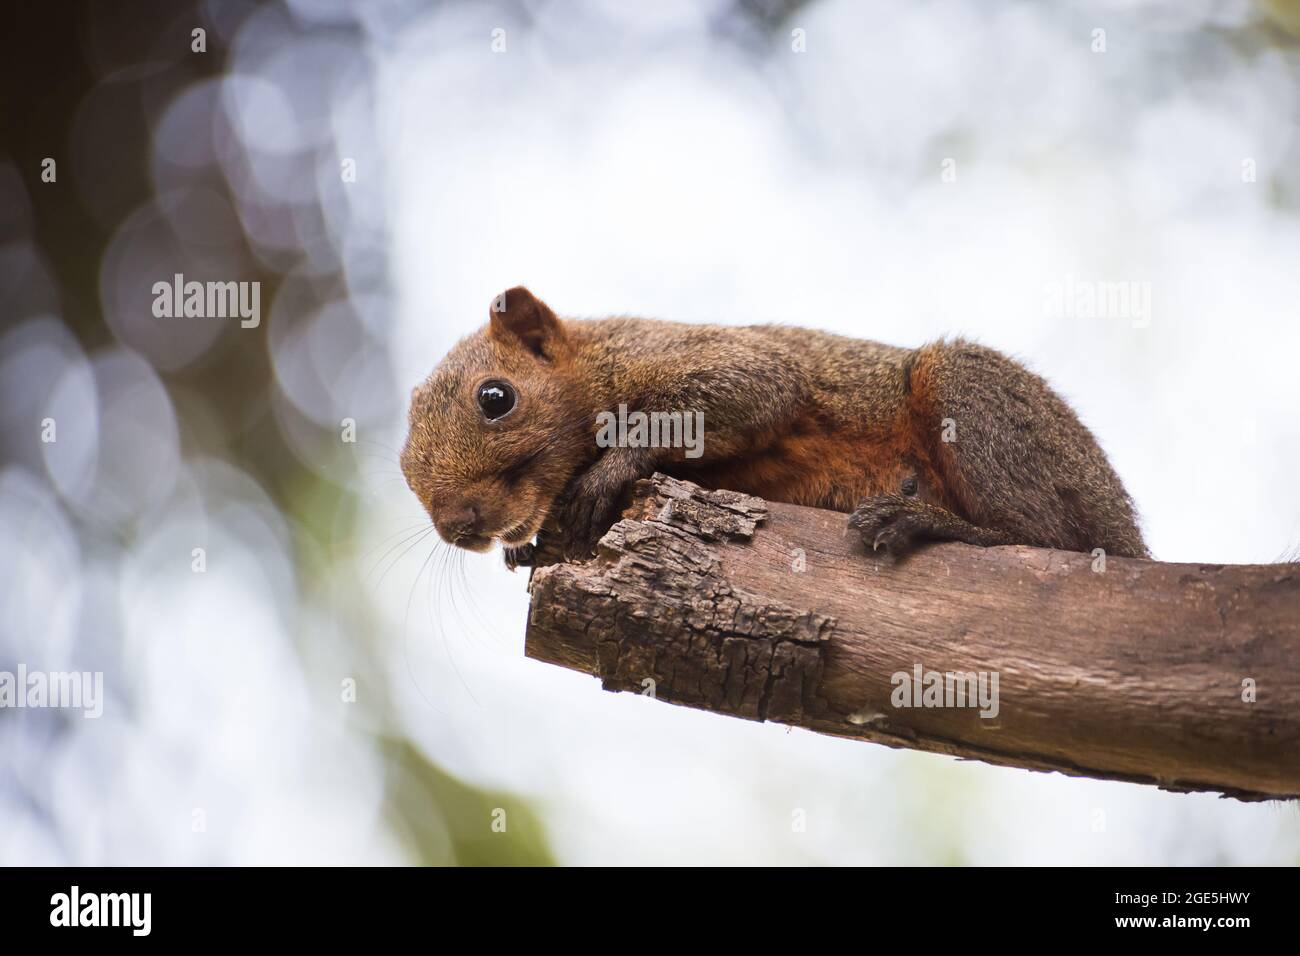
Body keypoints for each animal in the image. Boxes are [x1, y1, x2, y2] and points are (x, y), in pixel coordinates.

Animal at [401, 287, 1147, 569]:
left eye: (495, 398)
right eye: (405, 472)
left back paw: (923, 521)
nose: (456, 525)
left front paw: (612, 467)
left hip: (972, 398)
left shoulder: (699, 361)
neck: (595, 361)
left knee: (1047, 540)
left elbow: (760, 390)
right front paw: (527, 550)